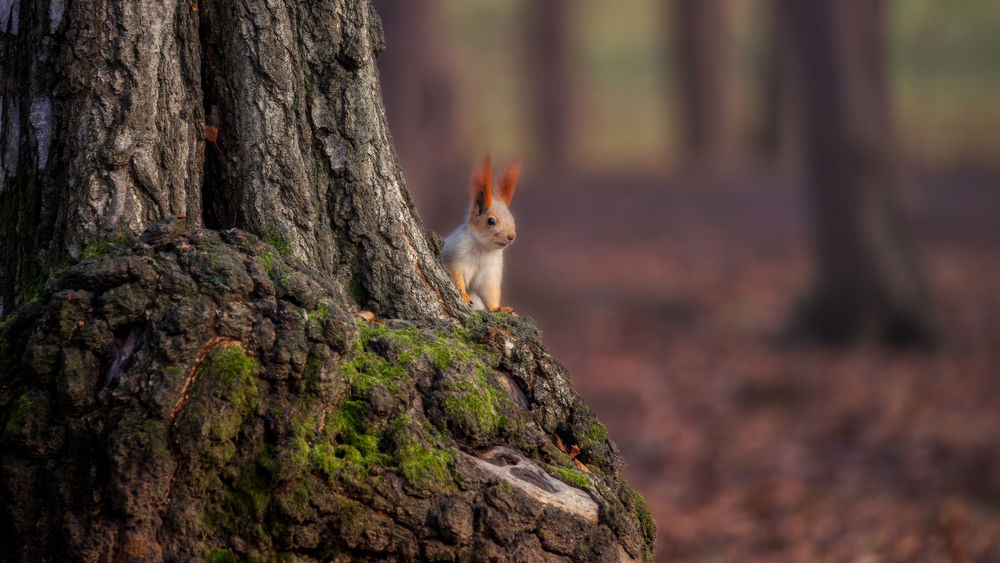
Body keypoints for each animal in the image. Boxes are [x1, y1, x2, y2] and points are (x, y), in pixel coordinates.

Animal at [442, 154, 520, 313]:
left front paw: (499, 308)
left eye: (512, 218)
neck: (483, 249)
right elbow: (456, 276)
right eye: (491, 221)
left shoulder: (490, 273)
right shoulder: (455, 256)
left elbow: (490, 293)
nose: (511, 236)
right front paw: (463, 294)